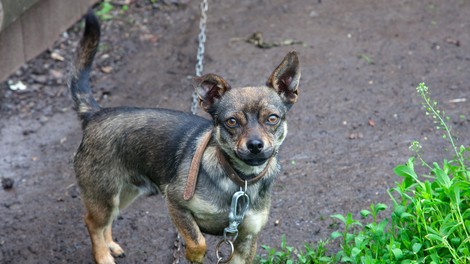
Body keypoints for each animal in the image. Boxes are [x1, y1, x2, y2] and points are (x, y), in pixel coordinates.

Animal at [70, 12, 302, 264]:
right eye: (231, 122)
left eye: (272, 118)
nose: (256, 145)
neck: (240, 180)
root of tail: (95, 114)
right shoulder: (175, 204)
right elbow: (197, 241)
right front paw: (193, 253)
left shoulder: (246, 241)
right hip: (104, 195)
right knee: (92, 223)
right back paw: (103, 255)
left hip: (125, 193)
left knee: (107, 222)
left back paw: (110, 245)